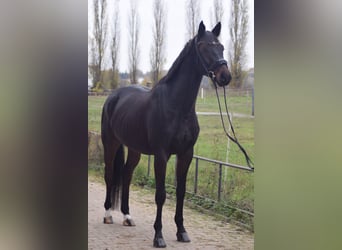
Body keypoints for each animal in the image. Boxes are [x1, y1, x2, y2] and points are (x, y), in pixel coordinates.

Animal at [101, 22, 230, 248]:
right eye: (204, 46)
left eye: (221, 47)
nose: (225, 76)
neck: (177, 106)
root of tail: (113, 96)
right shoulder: (161, 155)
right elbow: (160, 195)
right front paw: (158, 236)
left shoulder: (186, 154)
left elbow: (181, 192)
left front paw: (181, 231)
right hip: (110, 143)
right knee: (109, 174)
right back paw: (108, 214)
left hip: (134, 149)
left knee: (126, 175)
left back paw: (127, 216)